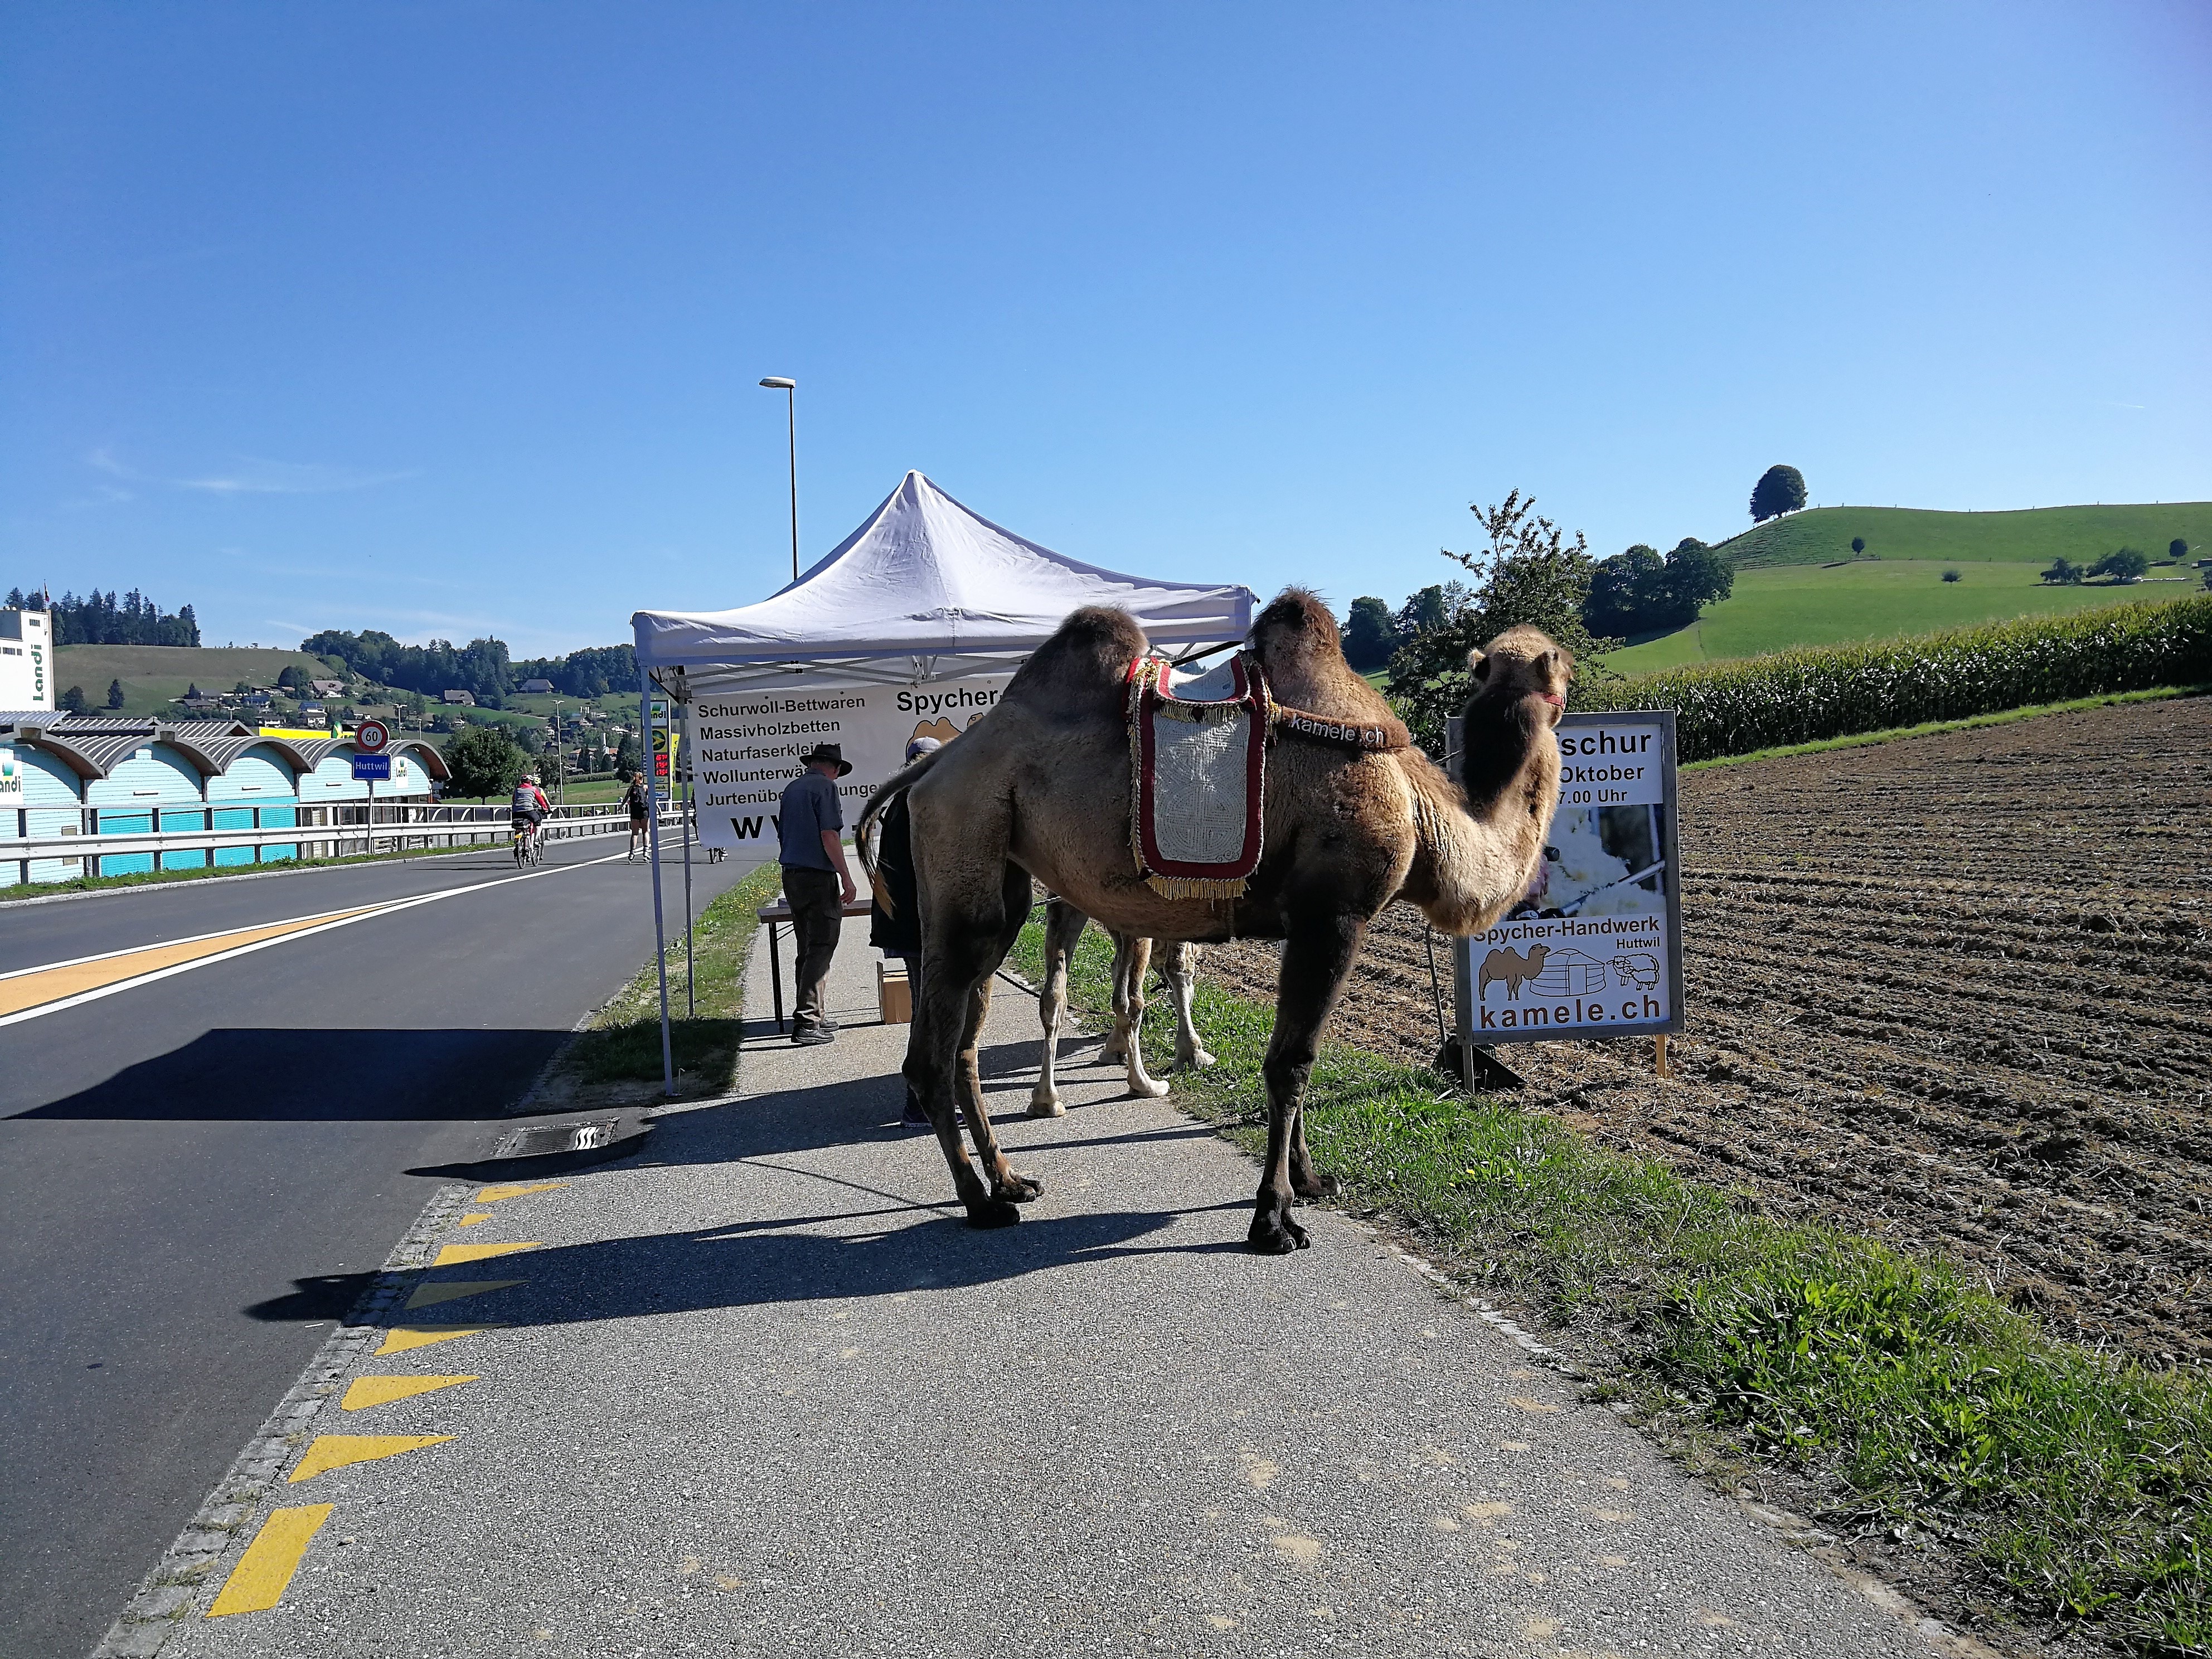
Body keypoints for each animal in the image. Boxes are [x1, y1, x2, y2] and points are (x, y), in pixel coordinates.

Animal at [1031, 902, 1212, 1123]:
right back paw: (1145, 1084)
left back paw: (1045, 1100)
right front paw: (1193, 1054)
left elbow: (1116, 968)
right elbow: (1179, 967)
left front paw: (1115, 1049)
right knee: (1130, 1001)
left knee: (1053, 998)